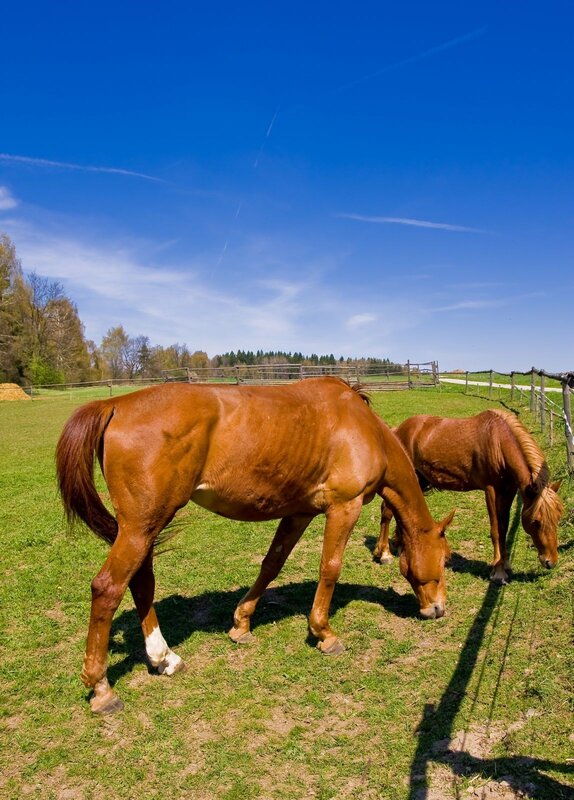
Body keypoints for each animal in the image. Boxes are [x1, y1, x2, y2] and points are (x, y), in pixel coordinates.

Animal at [56, 377, 454, 714]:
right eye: (445, 559)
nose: (437, 609)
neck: (363, 428)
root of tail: (116, 403)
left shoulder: (299, 513)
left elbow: (272, 563)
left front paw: (242, 624)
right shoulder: (344, 507)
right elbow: (330, 568)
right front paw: (323, 633)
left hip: (143, 528)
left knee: (141, 583)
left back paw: (164, 658)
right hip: (140, 527)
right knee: (108, 588)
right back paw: (102, 688)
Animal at [373, 409, 562, 583]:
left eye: (558, 518)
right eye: (536, 521)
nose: (550, 562)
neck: (499, 442)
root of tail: (397, 430)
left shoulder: (508, 491)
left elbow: (504, 527)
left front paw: (506, 565)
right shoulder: (491, 491)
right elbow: (496, 530)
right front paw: (498, 571)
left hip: (418, 479)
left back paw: (399, 546)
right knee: (387, 511)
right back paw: (385, 553)